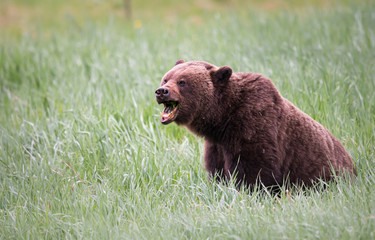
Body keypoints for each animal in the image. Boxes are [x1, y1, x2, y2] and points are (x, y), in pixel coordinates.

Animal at [156, 59, 358, 188]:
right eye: (166, 78)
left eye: (182, 82)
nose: (162, 91)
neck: (222, 118)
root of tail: (353, 166)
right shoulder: (217, 144)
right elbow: (217, 170)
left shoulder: (253, 125)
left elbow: (255, 169)